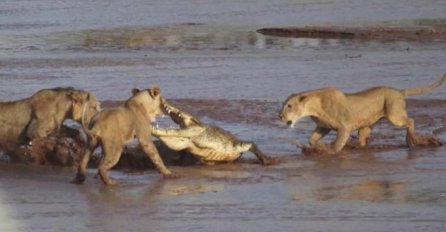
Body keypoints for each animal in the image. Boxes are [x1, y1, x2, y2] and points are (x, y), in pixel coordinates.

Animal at [280, 75, 444, 154]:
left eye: (289, 106)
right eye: (283, 105)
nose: (280, 116)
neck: (314, 107)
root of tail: (398, 91)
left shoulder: (345, 126)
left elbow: (338, 143)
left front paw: (330, 151)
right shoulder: (323, 127)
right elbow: (311, 139)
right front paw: (316, 148)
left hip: (394, 116)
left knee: (411, 120)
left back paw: (411, 141)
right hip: (366, 126)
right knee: (363, 139)